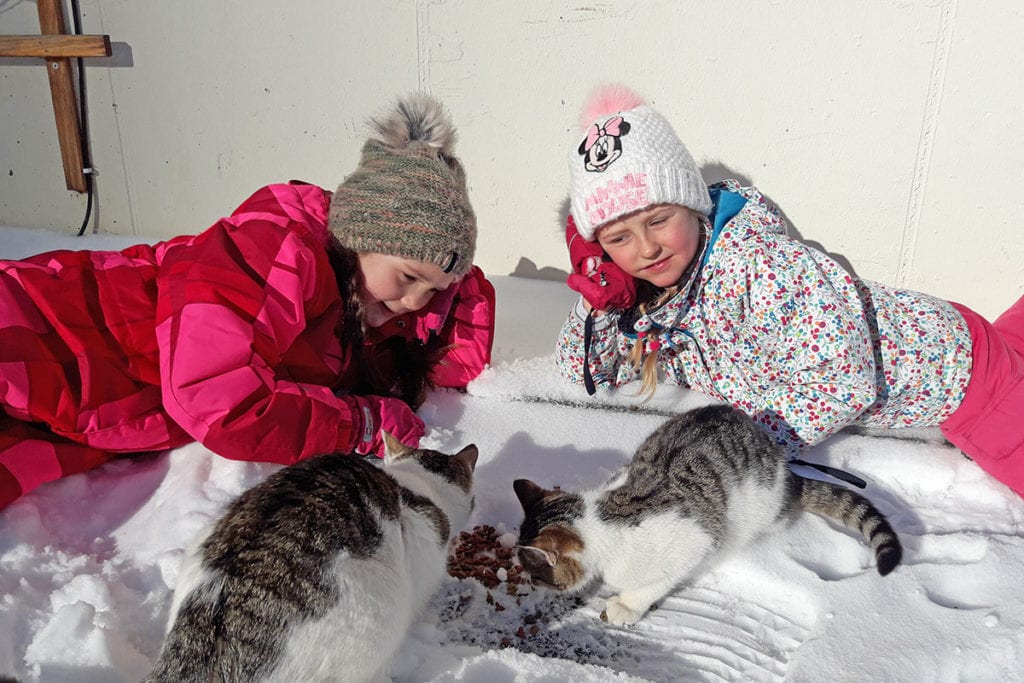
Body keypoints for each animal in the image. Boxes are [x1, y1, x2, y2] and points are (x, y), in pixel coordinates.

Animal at [516, 403, 901, 626]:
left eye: (536, 574)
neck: (605, 518)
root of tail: (786, 470)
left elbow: (654, 584)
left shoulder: (697, 541)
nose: (531, 585)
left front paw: (625, 607)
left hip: (759, 509)